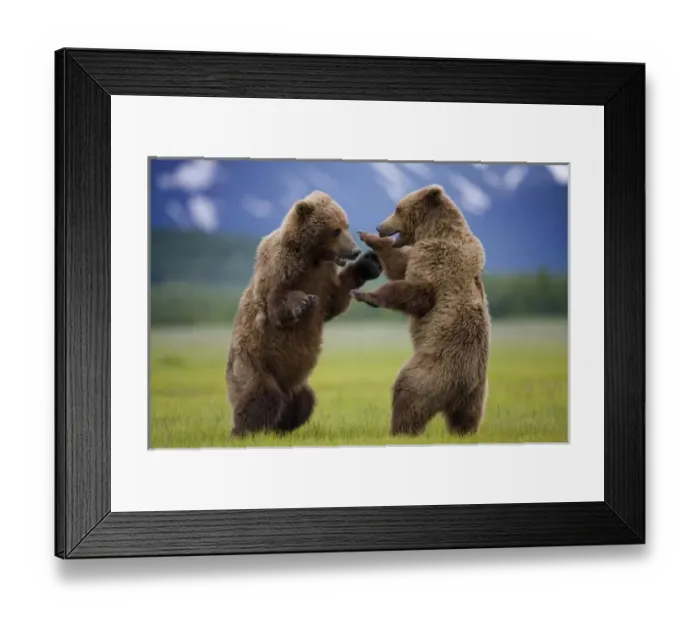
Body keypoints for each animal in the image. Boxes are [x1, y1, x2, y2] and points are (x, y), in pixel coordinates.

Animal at [226, 190, 383, 437]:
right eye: (335, 229)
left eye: (346, 225)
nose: (354, 250)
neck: (311, 256)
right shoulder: (278, 267)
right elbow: (276, 304)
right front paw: (304, 302)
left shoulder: (324, 276)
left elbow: (335, 300)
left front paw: (369, 263)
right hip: (252, 364)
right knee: (260, 396)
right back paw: (245, 431)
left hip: (295, 385)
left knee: (304, 401)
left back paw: (281, 427)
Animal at [351, 184, 491, 437]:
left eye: (397, 208)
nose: (379, 227)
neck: (433, 232)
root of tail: (461, 388)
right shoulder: (420, 255)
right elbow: (399, 265)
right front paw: (367, 236)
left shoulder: (438, 262)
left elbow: (415, 291)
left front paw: (366, 295)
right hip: (477, 394)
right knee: (467, 417)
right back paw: (464, 431)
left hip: (433, 370)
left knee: (409, 394)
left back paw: (399, 430)